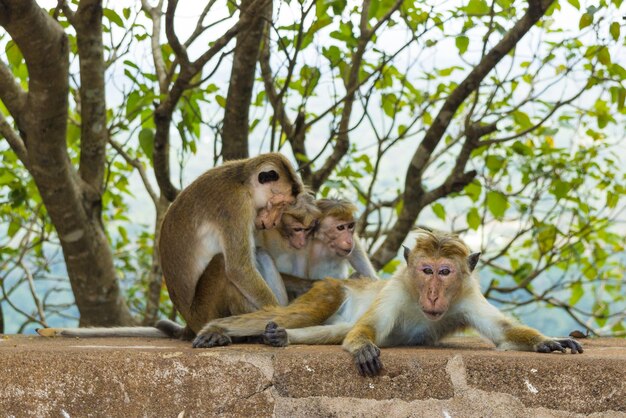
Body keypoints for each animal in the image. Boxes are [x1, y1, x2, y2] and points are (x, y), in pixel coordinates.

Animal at [189, 230, 580, 378]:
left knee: (338, 328)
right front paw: (364, 348)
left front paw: (549, 341)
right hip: (329, 288)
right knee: (308, 313)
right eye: (425, 270)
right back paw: (219, 329)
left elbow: (504, 332)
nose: (433, 294)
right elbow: (368, 329)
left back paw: (281, 337)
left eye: (444, 272)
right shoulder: (394, 290)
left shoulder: (467, 296)